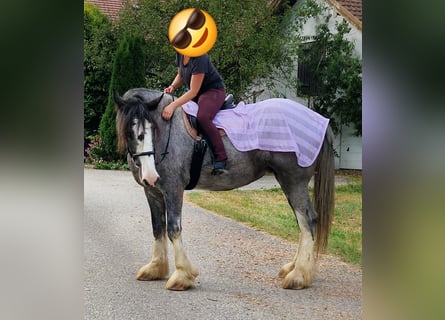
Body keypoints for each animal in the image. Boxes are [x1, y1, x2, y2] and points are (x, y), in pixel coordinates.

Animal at [114, 89, 332, 292]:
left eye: (152, 128)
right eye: (129, 132)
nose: (150, 174)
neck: (168, 129)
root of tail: (319, 120)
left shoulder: (173, 189)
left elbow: (173, 229)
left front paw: (182, 276)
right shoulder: (153, 192)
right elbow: (157, 228)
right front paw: (155, 268)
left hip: (294, 182)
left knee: (307, 221)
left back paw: (299, 276)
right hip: (288, 183)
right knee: (304, 223)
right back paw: (296, 268)